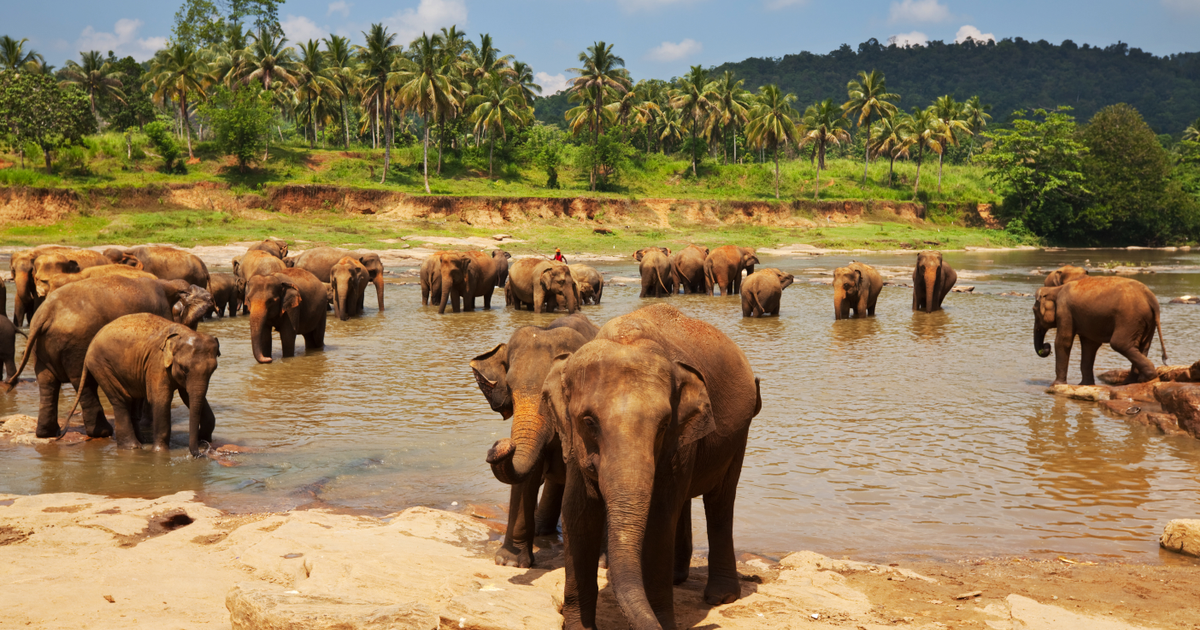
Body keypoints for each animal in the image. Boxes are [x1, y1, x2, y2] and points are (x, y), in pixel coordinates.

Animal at [1, 274, 212, 436]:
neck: (167, 284)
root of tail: (46, 313)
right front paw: (144, 423)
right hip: (77, 344)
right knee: (84, 382)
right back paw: (102, 432)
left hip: (42, 346)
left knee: (47, 382)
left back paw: (47, 433)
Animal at [65, 312, 220, 453]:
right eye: (184, 368)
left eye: (214, 369)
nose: (199, 453)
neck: (183, 333)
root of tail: (90, 346)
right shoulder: (156, 364)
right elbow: (161, 399)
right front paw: (160, 452)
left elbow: (188, 396)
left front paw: (203, 438)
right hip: (101, 365)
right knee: (122, 400)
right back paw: (132, 447)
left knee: (132, 401)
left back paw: (141, 442)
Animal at [487, 304, 758, 628]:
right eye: (589, 421)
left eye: (664, 425)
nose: (501, 444)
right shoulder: (576, 442)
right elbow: (578, 513)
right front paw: (579, 626)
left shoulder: (678, 441)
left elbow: (660, 517)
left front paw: (662, 622)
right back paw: (679, 579)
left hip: (739, 434)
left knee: (720, 501)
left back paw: (720, 597)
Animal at [1036, 277, 1166, 386]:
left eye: (1034, 311)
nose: (1046, 346)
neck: (1055, 289)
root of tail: (1150, 296)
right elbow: (1090, 345)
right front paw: (1084, 385)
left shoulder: (1064, 311)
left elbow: (1063, 342)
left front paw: (1056, 385)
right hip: (1148, 321)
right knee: (1143, 346)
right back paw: (1132, 381)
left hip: (1130, 319)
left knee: (1120, 344)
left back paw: (1145, 378)